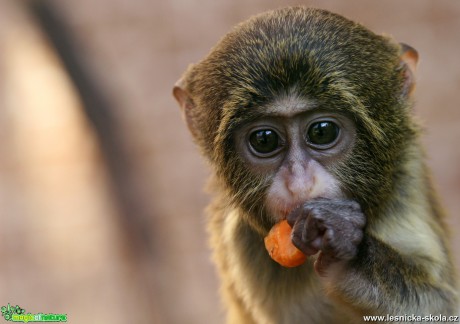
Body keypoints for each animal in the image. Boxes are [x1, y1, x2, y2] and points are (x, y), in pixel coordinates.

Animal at [174, 5, 458, 324]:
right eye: (264, 139)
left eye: (322, 131)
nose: (299, 183)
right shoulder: (238, 237)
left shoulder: (407, 180)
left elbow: (445, 305)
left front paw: (349, 255)